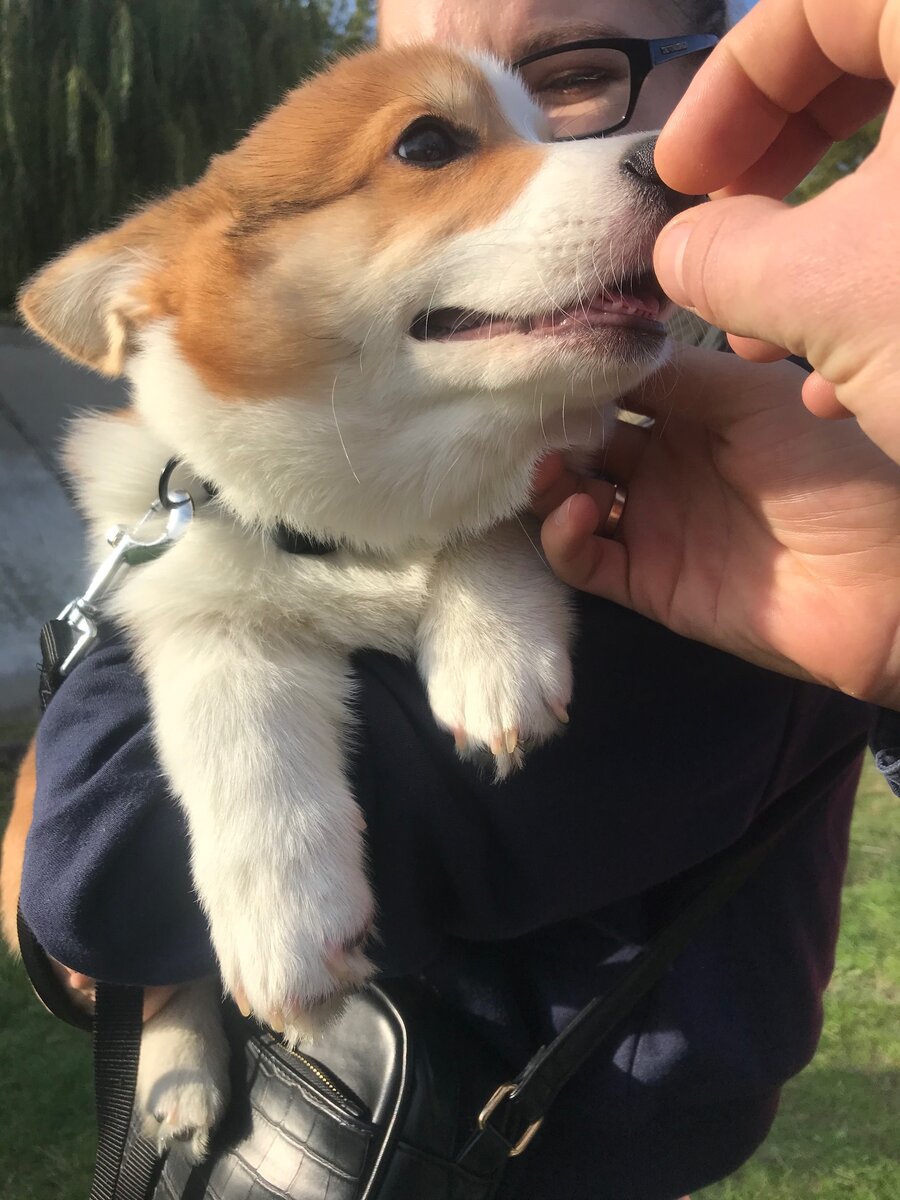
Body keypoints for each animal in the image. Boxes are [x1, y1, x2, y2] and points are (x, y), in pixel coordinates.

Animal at [3, 42, 686, 1156]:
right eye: (428, 143)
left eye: (549, 126)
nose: (686, 170)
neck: (357, 527)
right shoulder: (182, 596)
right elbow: (237, 717)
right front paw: (287, 915)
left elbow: (492, 512)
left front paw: (495, 653)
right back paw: (179, 1077)